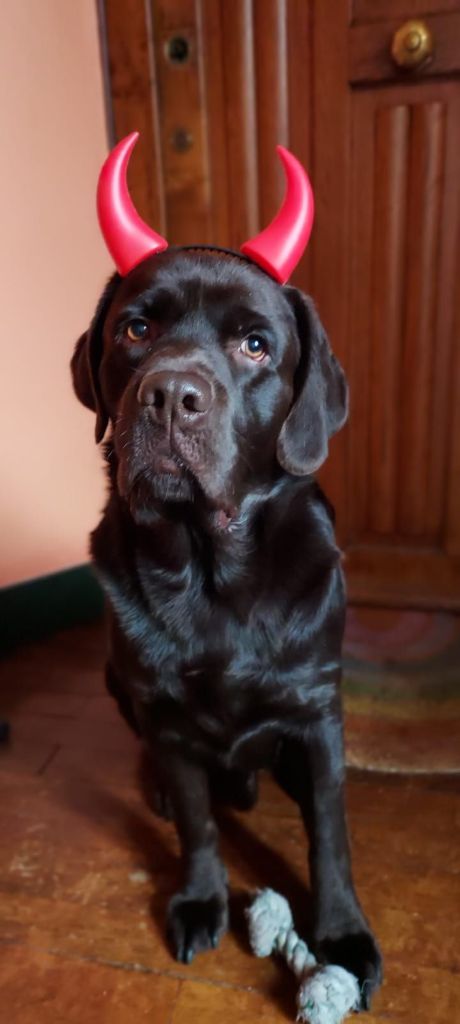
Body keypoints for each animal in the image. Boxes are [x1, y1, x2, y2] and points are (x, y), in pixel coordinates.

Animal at [70, 136, 381, 1007]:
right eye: (137, 328)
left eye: (255, 345)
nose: (171, 394)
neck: (212, 578)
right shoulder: (167, 714)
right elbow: (200, 823)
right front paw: (200, 900)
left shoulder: (317, 710)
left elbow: (331, 835)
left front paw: (342, 937)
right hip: (116, 681)